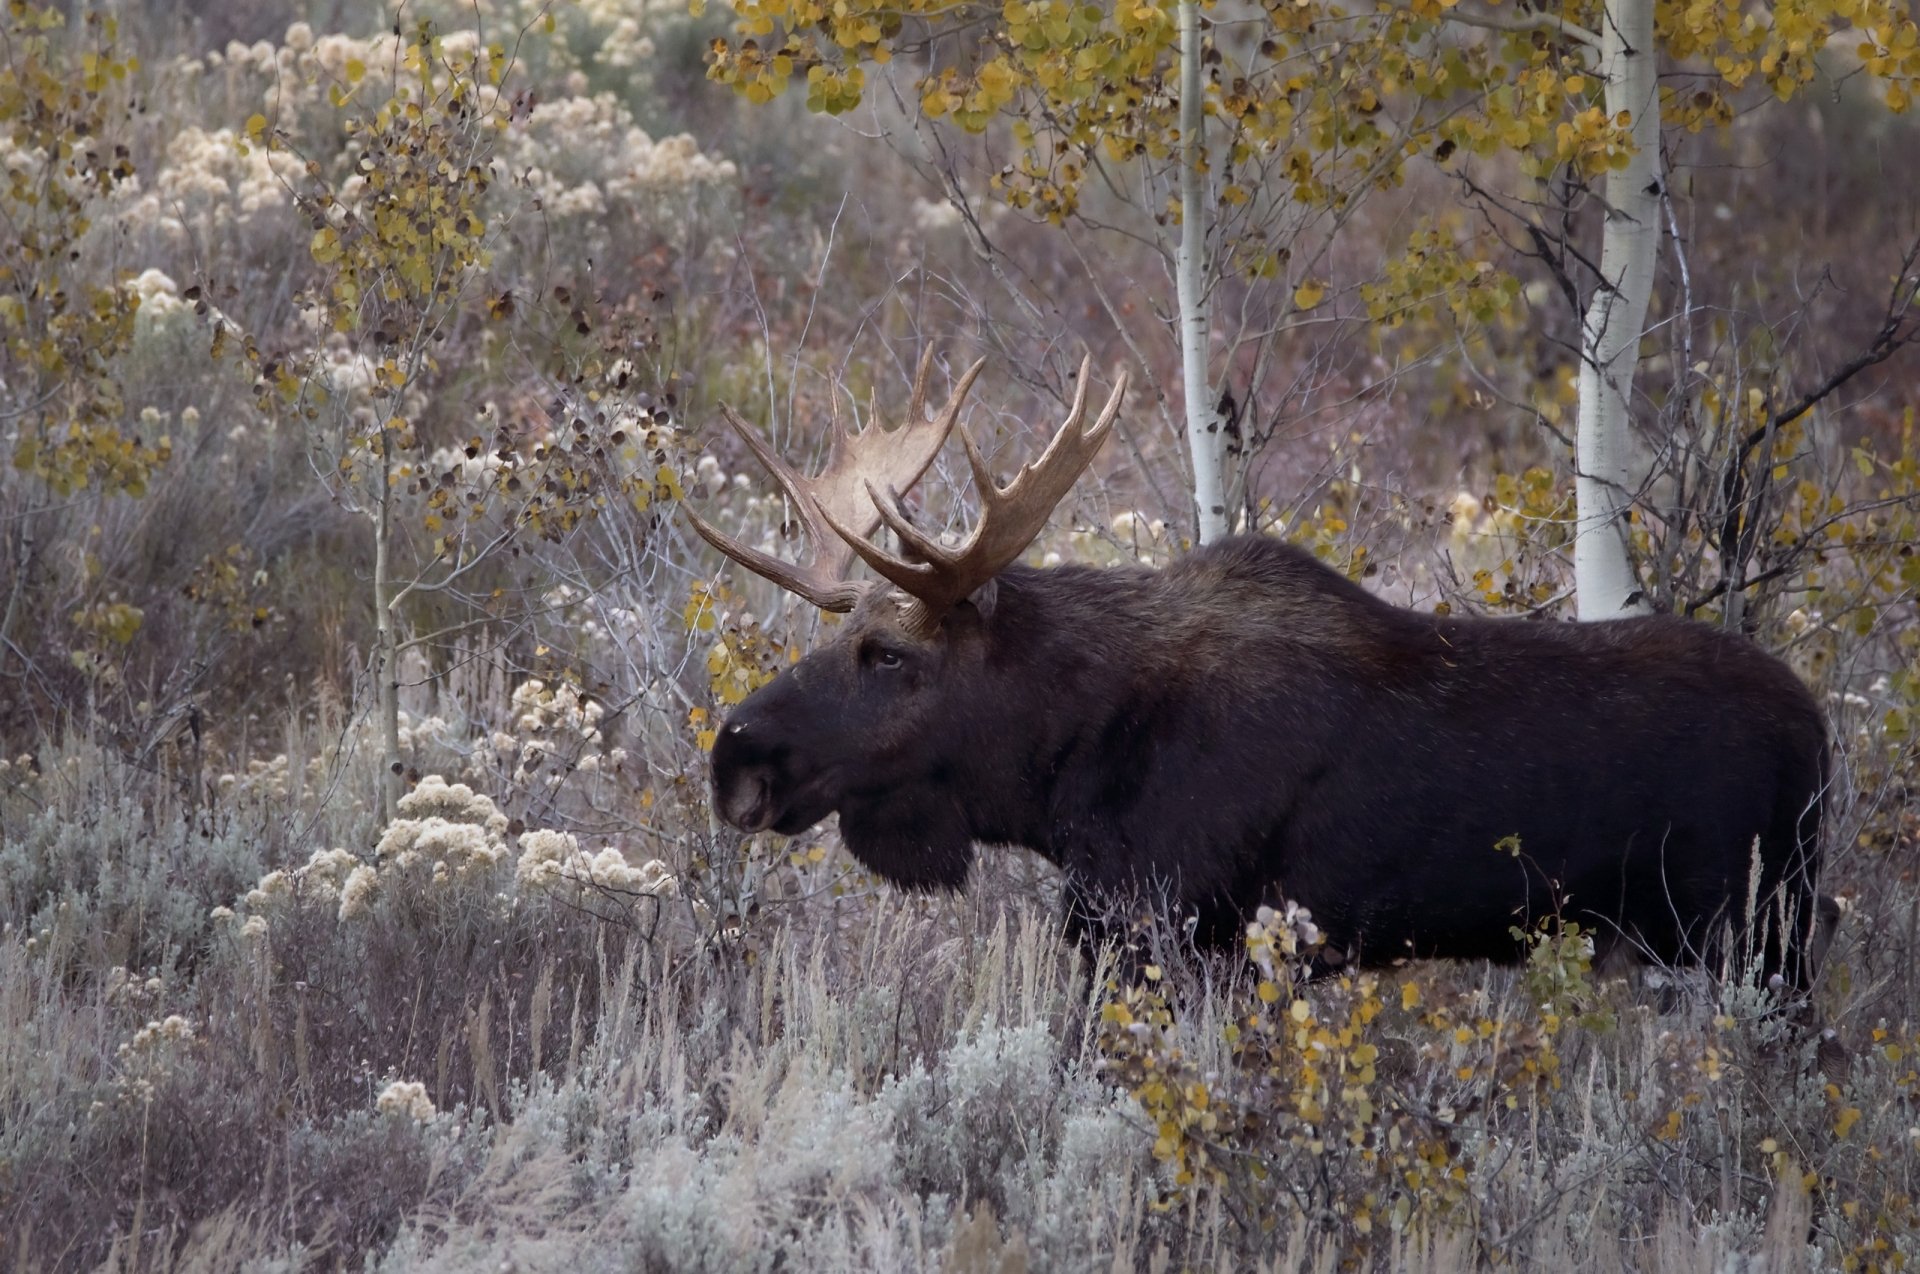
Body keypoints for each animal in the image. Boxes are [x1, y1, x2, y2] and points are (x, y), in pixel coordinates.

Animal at [691, 353, 1827, 990]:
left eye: (889, 654)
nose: (734, 759)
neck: (1063, 773)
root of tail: (1820, 734)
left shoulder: (1173, 928)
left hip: (1748, 933)